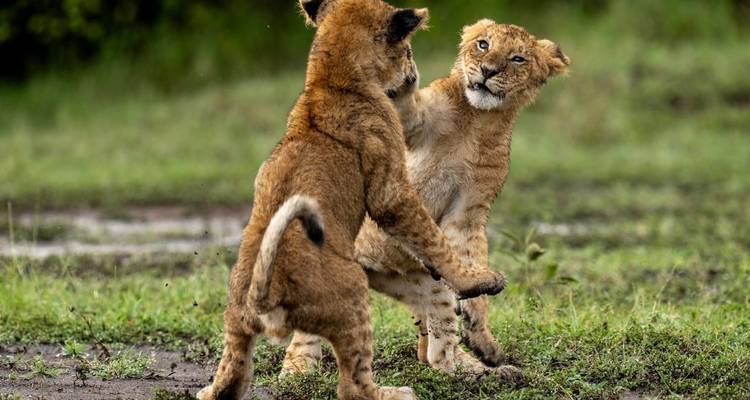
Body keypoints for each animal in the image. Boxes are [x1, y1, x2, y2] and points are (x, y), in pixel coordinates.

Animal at [196, 3, 508, 400]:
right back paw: (398, 392)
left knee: (226, 383)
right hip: (354, 297)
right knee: (352, 386)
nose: (413, 74)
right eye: (408, 49)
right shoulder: (390, 188)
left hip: (236, 333)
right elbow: (431, 237)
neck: (329, 81)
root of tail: (261, 297)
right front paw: (479, 280)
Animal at [282, 19, 570, 380]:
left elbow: (469, 260)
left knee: (436, 346)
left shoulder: (468, 211)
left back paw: (478, 369)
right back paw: (297, 368)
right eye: (483, 45)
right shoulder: (413, 124)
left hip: (419, 281)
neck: (480, 120)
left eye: (518, 58)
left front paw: (480, 333)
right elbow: (405, 106)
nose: (488, 71)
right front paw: (404, 70)